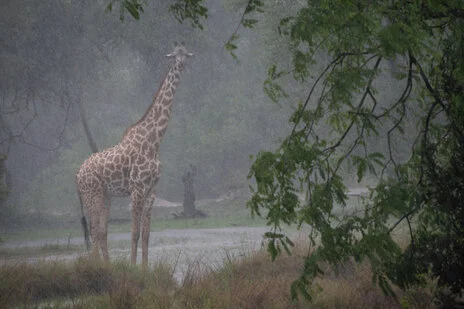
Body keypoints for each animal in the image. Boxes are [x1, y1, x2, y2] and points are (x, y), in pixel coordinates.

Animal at [77, 42, 193, 266]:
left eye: (186, 54)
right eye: (175, 56)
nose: (182, 65)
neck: (154, 142)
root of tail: (77, 174)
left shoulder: (151, 190)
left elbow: (146, 234)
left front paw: (145, 268)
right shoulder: (137, 189)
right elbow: (134, 233)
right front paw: (132, 266)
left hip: (106, 196)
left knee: (101, 231)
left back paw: (107, 265)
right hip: (91, 195)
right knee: (94, 230)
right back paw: (96, 265)